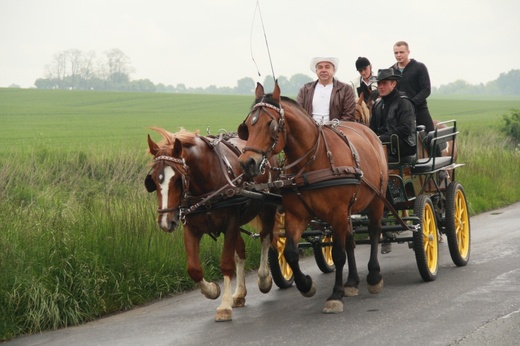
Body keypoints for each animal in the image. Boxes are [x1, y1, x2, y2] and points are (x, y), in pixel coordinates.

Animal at [144, 127, 278, 322]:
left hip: (267, 207)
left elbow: (226, 263)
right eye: (153, 180)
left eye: (177, 179)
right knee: (241, 251)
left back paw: (264, 279)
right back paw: (239, 293)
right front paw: (213, 290)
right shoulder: (191, 228)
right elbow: (193, 268)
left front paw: (224, 306)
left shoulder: (231, 223)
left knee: (266, 239)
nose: (165, 222)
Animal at [238, 82, 388, 314]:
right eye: (247, 126)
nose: (247, 163)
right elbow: (291, 252)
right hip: (348, 212)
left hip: (376, 200)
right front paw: (307, 285)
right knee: (351, 240)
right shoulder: (297, 215)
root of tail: (370, 134)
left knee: (374, 232)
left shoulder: (337, 213)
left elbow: (338, 253)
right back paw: (352, 282)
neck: (311, 162)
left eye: (271, 125)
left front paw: (335, 295)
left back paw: (373, 276)